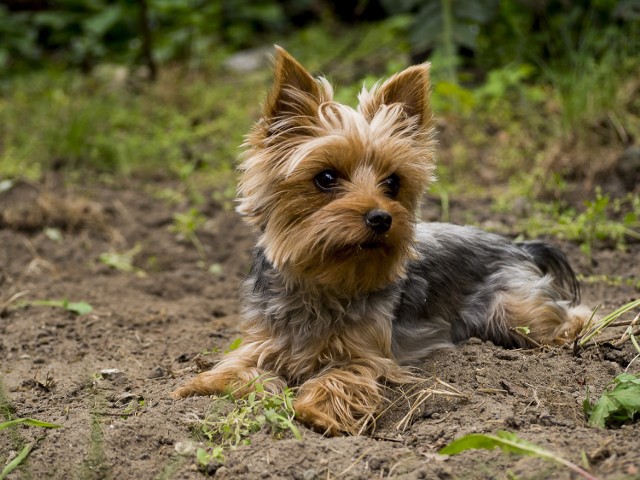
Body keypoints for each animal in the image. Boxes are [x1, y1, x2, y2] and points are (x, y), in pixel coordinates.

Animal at [172, 47, 592, 436]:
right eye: (325, 178)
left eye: (393, 182)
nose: (381, 217)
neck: (324, 282)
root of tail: (518, 244)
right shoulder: (259, 342)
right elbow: (240, 371)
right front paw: (198, 387)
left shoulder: (369, 354)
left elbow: (341, 376)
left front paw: (315, 411)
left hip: (512, 309)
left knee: (571, 316)